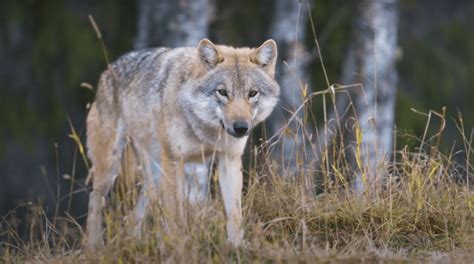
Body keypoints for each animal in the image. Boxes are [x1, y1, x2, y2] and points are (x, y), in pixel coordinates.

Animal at [84, 38, 280, 248]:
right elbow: (176, 217)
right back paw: (94, 247)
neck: (204, 129)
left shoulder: (230, 160)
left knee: (132, 217)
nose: (241, 127)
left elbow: (235, 214)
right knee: (94, 200)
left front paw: (236, 246)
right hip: (111, 168)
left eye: (252, 93)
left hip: (153, 180)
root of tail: (108, 70)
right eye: (222, 92)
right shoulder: (173, 161)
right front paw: (178, 248)